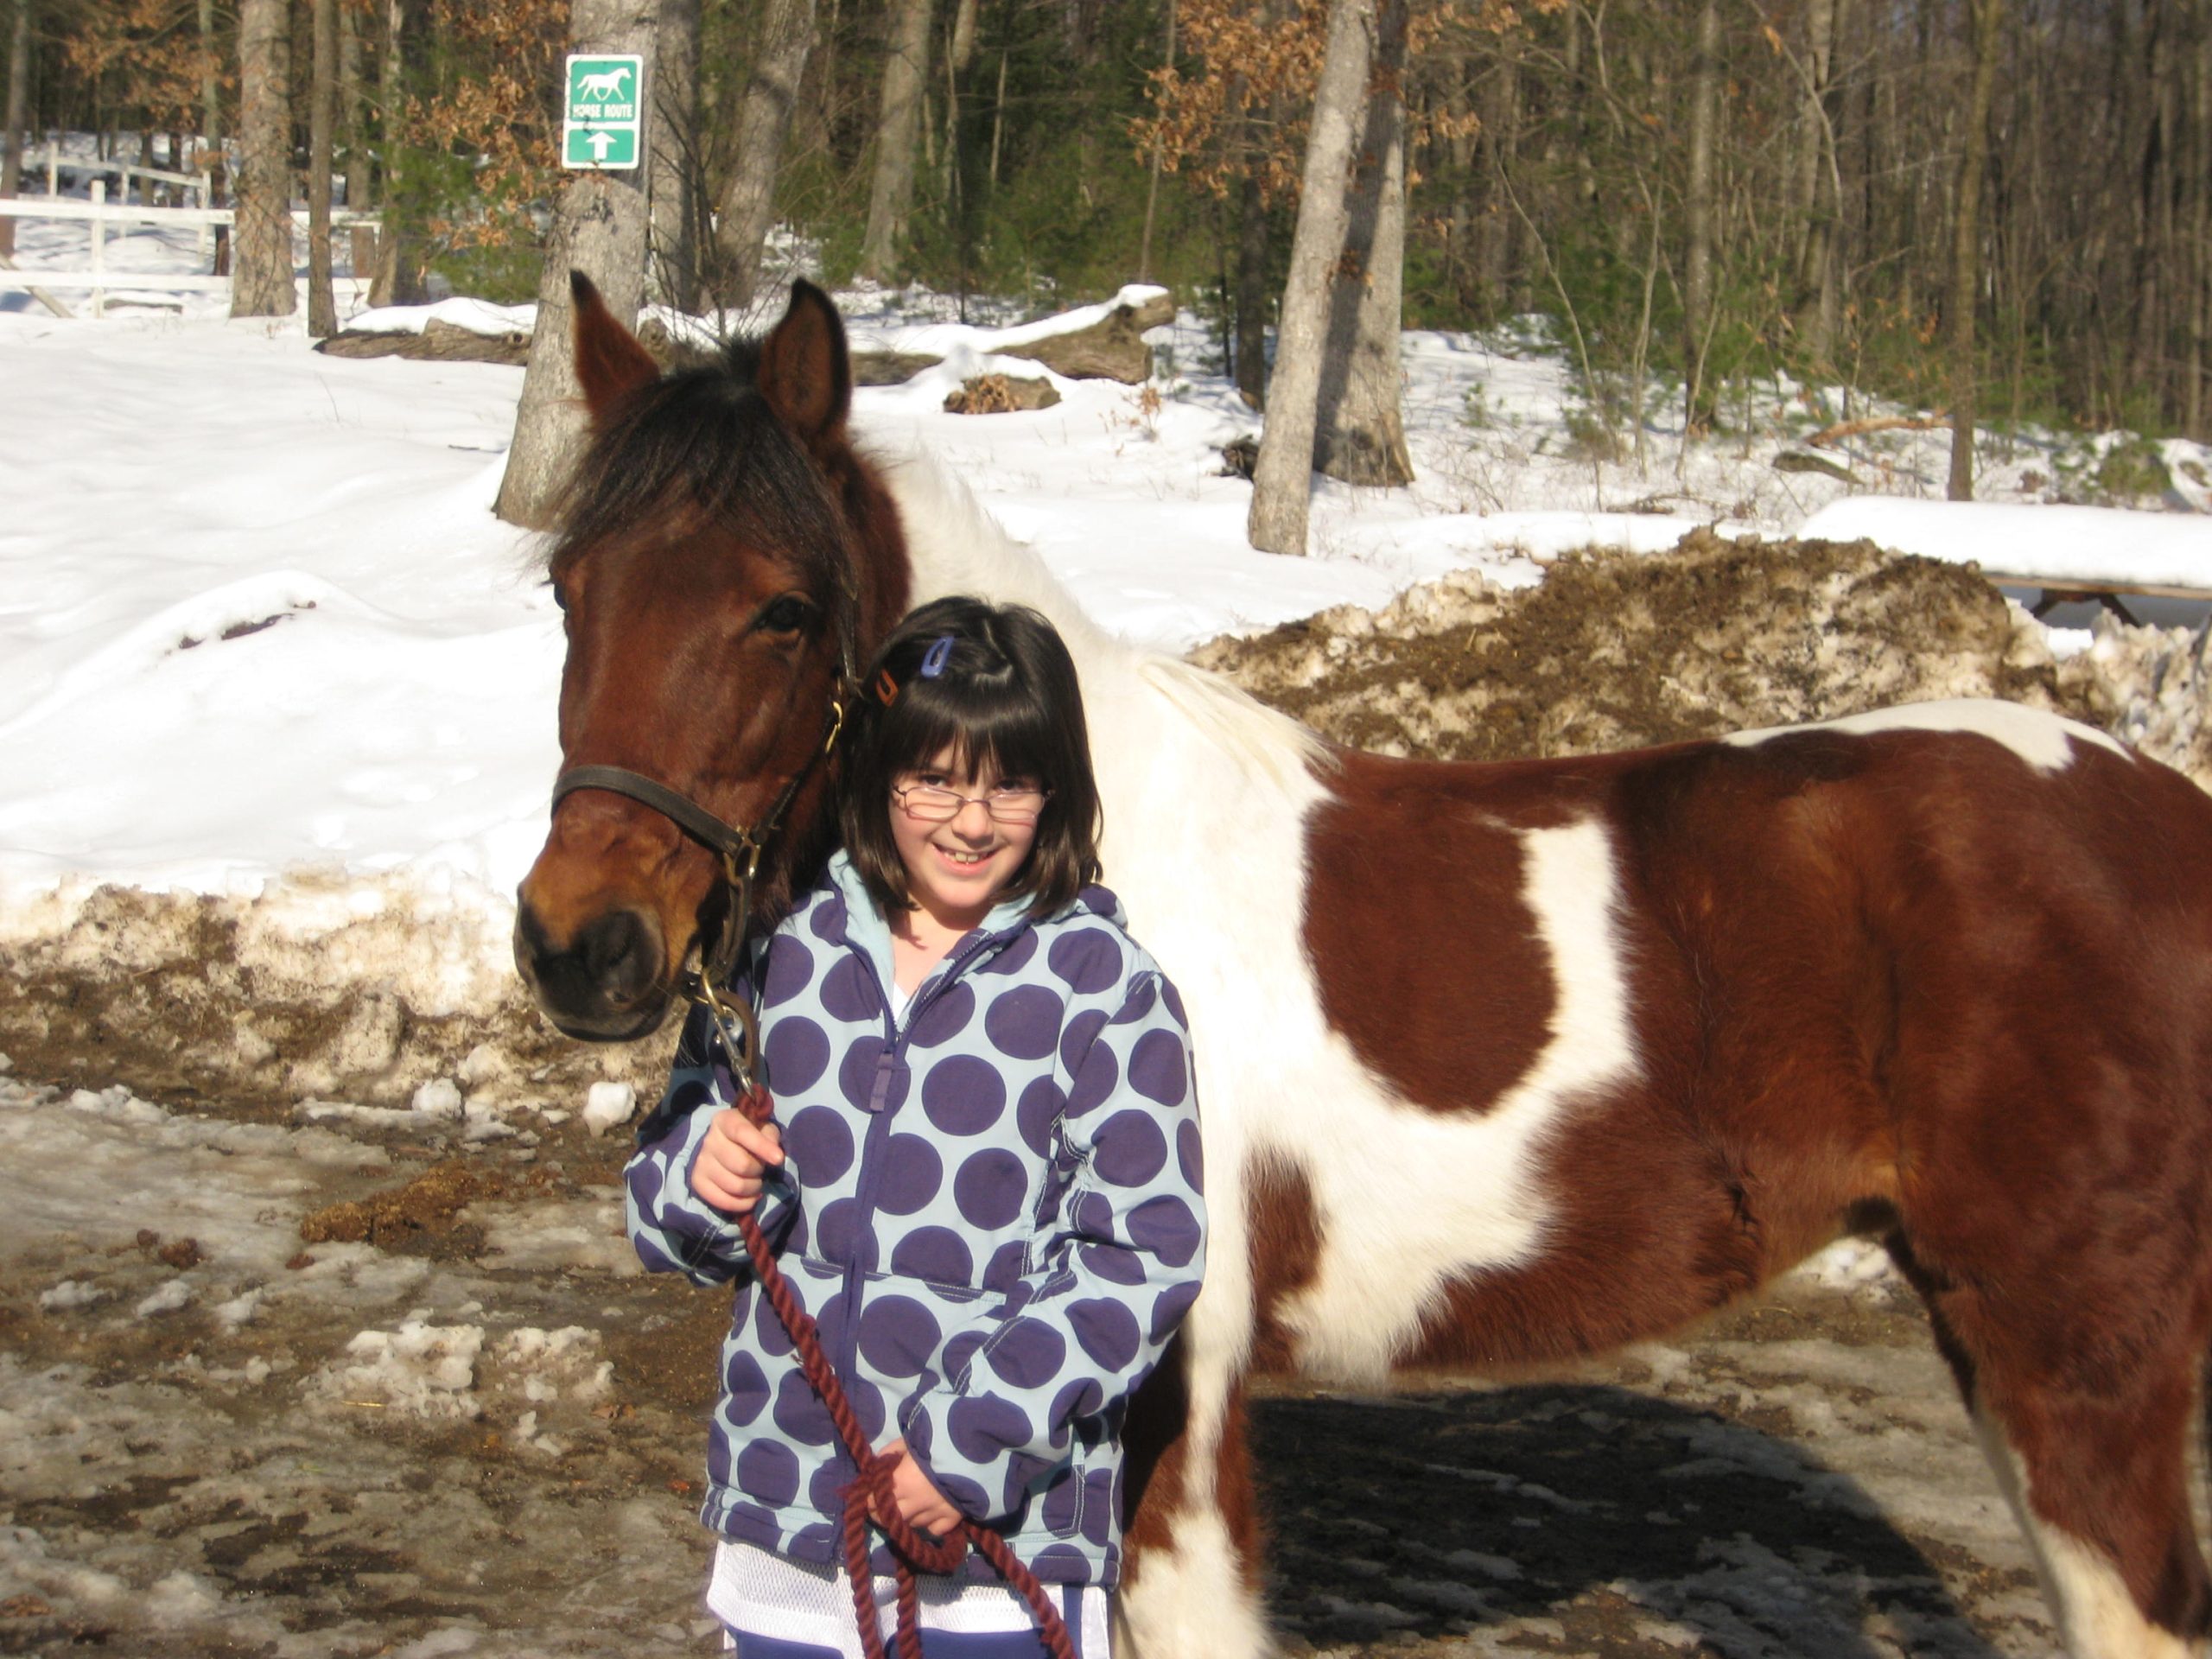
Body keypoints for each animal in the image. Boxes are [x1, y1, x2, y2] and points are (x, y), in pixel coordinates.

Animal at [514, 273, 2212, 1659]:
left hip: (2074, 1350)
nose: (579, 946)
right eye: (569, 589)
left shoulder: (1174, 1405)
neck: (1090, 851)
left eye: (783, 610)